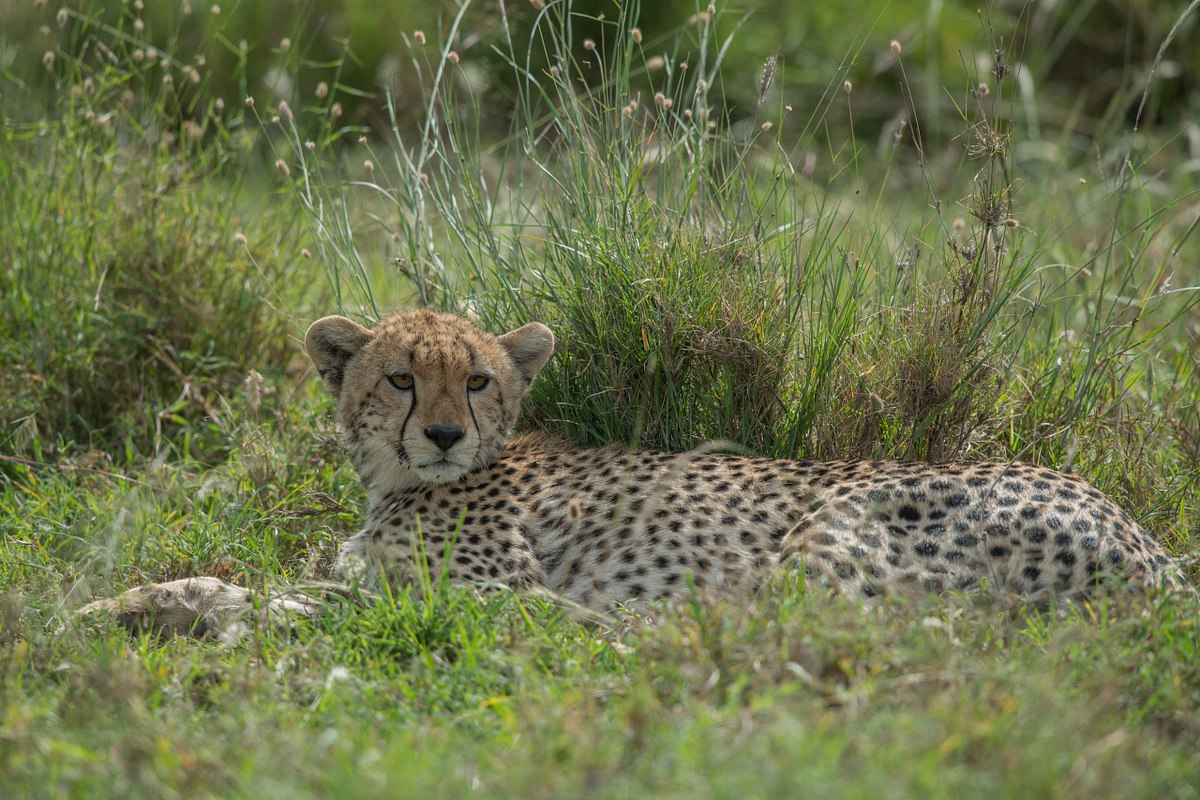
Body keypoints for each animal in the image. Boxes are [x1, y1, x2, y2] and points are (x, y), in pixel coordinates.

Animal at [81, 309, 1187, 637]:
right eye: (400, 378)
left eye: (475, 381)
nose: (440, 435)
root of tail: (1147, 540)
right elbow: (264, 583)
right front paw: (120, 607)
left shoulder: (478, 588)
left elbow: (309, 601)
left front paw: (187, 615)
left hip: (831, 533)